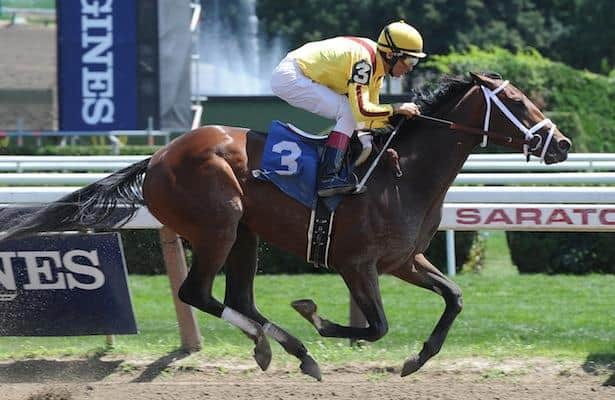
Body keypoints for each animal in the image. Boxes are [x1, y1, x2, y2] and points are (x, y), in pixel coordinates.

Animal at [0, 72, 572, 382]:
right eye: (515, 102)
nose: (562, 144)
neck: (402, 173)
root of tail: (158, 156)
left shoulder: (403, 260)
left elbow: (453, 296)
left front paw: (417, 360)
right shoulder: (356, 265)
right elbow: (375, 327)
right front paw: (314, 315)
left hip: (245, 233)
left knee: (236, 297)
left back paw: (282, 348)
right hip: (220, 224)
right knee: (197, 292)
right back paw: (285, 346)